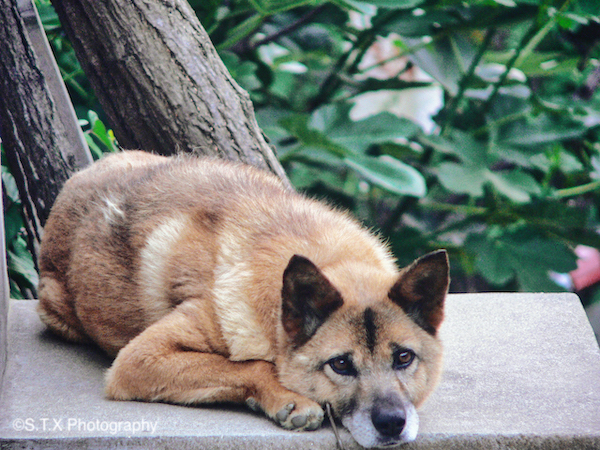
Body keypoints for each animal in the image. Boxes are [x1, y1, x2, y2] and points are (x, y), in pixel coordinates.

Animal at [37, 150, 448, 446]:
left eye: (404, 358)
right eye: (341, 365)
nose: (392, 424)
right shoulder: (140, 359)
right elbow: (248, 366)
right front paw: (287, 398)